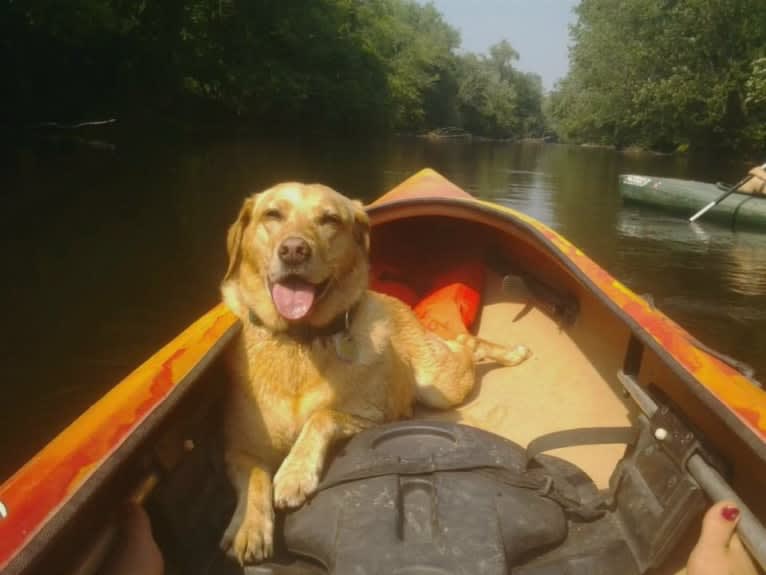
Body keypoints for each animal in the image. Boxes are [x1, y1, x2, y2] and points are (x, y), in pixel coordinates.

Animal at [218, 182, 528, 564]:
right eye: (272, 214)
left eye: (329, 219)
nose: (293, 250)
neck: (299, 341)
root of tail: (400, 305)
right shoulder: (238, 449)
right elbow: (256, 476)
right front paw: (248, 526)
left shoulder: (372, 418)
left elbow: (322, 416)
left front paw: (294, 472)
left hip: (442, 385)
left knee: (467, 343)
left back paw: (511, 353)